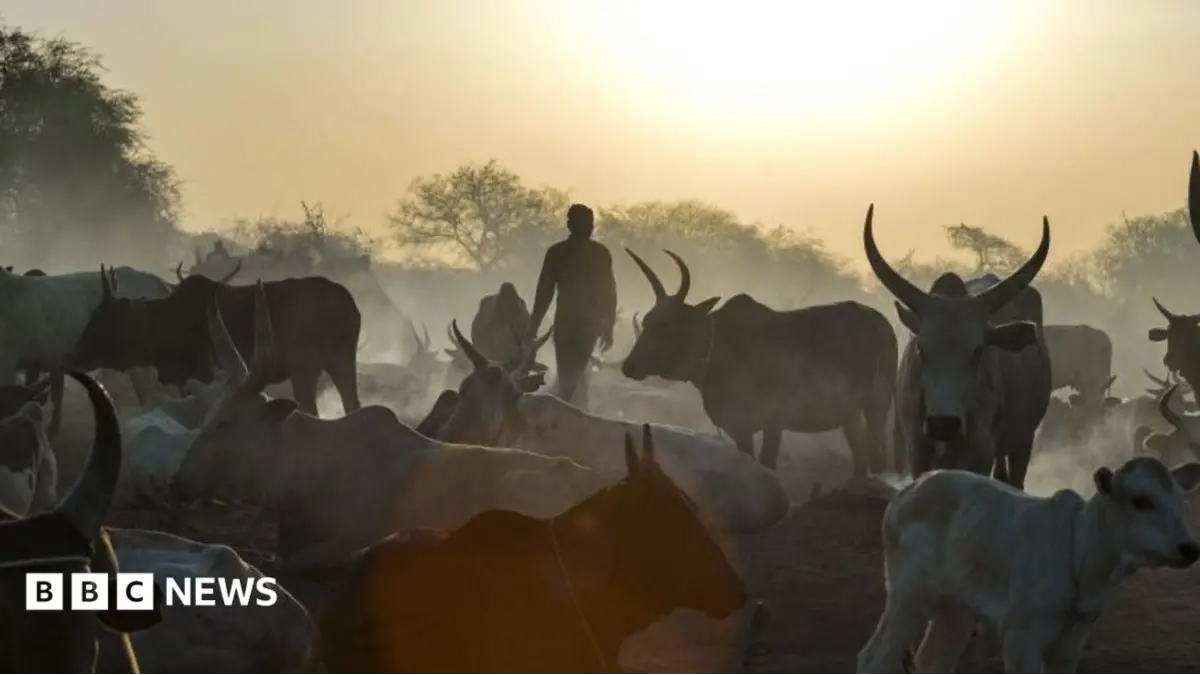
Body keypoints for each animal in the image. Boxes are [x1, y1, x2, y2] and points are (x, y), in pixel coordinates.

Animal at [70, 263, 362, 417]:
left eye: (101, 320)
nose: (75, 353)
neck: (163, 320)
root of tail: (349, 304)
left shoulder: (204, 372)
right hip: (341, 363)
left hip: (306, 370)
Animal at [621, 247, 897, 473]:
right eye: (646, 321)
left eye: (667, 325)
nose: (629, 366)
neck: (720, 348)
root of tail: (880, 323)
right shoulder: (741, 428)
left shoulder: (773, 421)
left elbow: (768, 463)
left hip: (874, 407)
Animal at [857, 456, 1200, 675]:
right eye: (1141, 501)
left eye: (1181, 502)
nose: (1189, 548)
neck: (1078, 551)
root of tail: (908, 490)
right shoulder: (1021, 640)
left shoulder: (1070, 646)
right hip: (910, 598)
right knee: (873, 660)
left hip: (955, 609)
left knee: (933, 663)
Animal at [864, 204, 1052, 489]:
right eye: (921, 348)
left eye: (978, 350)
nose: (944, 423)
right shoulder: (917, 450)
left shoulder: (981, 450)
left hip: (1023, 439)